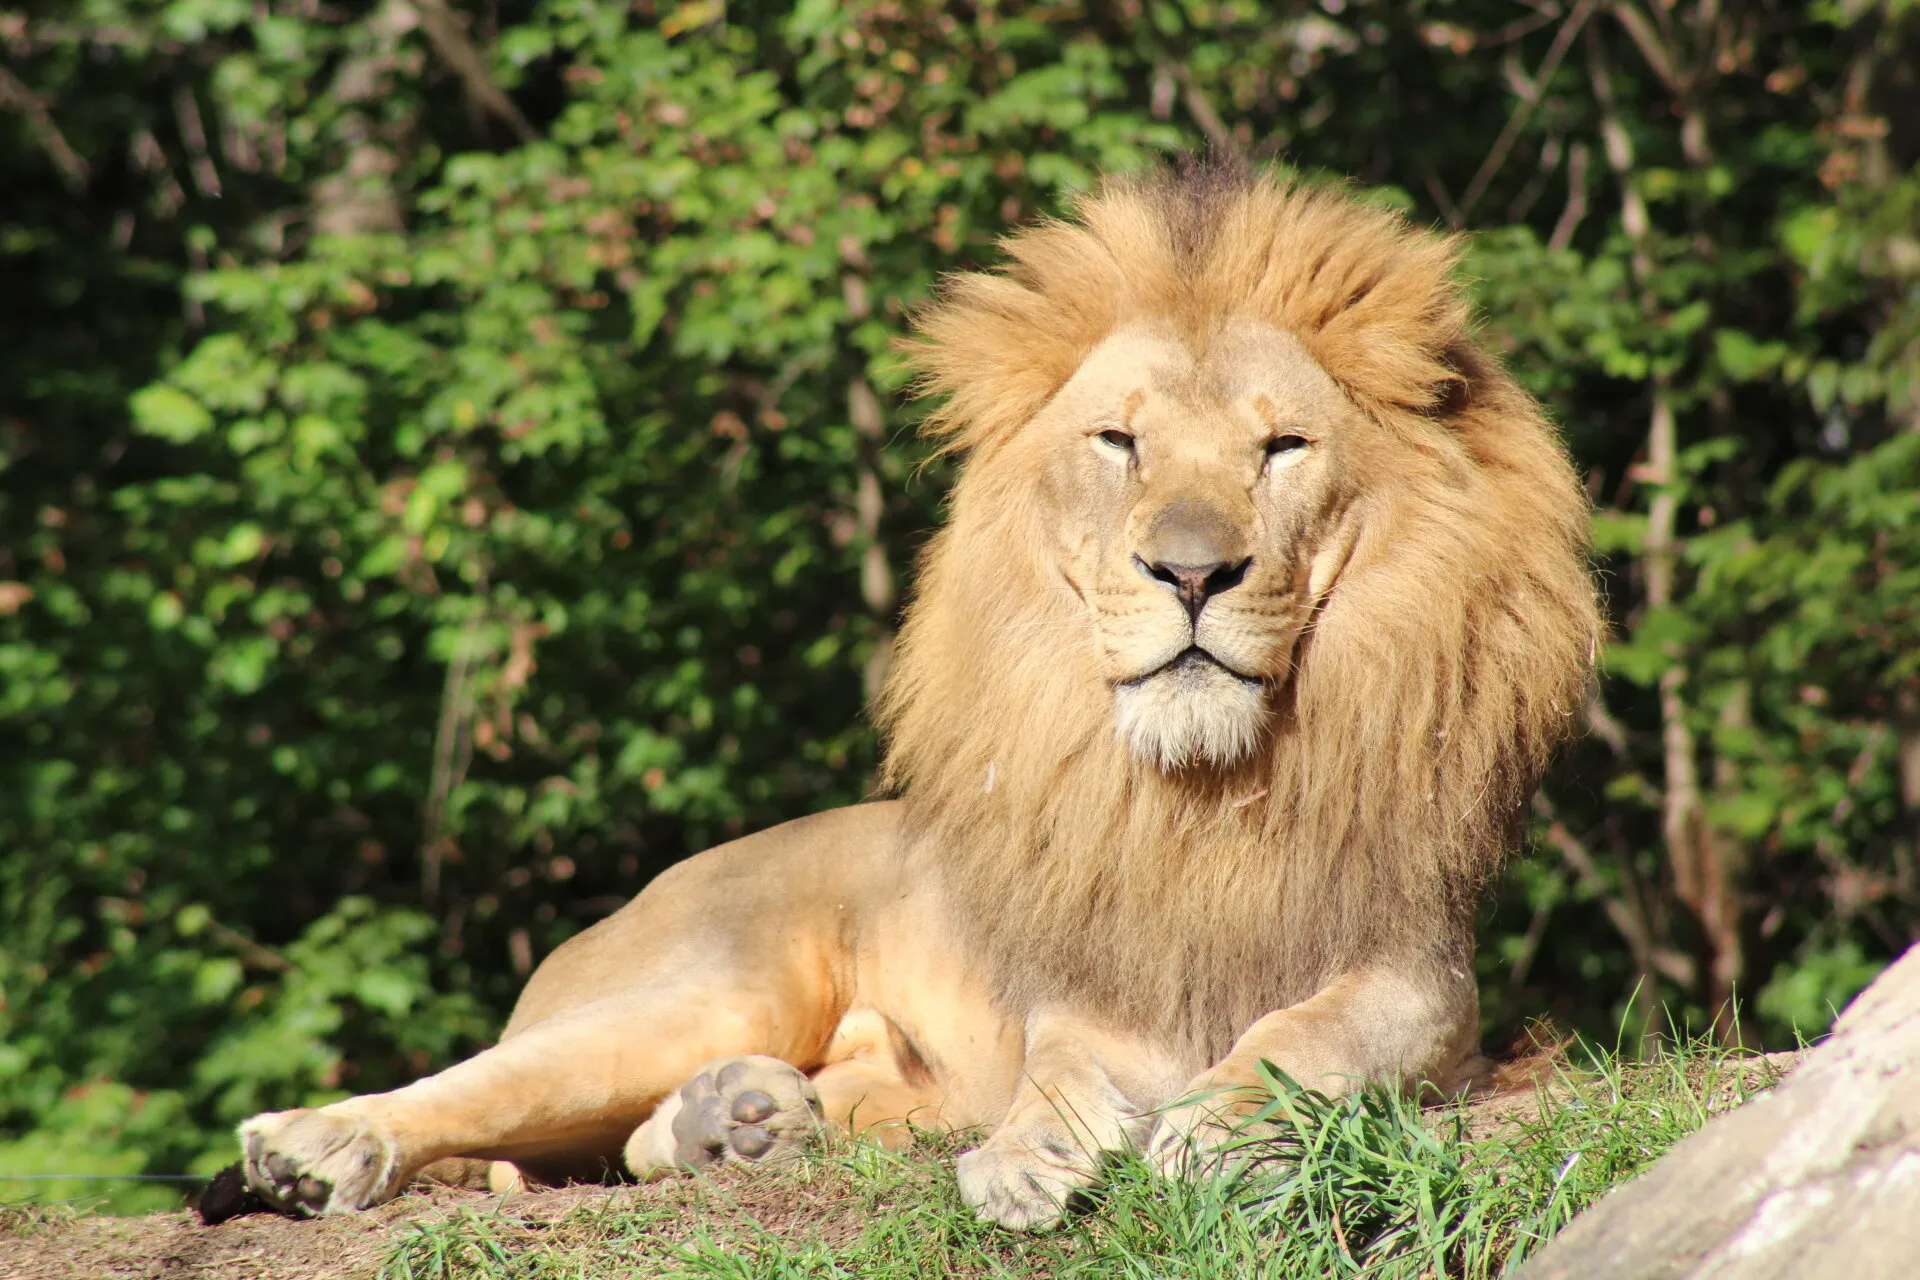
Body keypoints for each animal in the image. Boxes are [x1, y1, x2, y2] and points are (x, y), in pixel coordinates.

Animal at [232, 163, 1600, 1232]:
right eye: (1120, 441)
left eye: (1283, 447)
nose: (1192, 570)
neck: (1202, 789)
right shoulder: (1088, 998)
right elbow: (1059, 1071)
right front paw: (1028, 1155)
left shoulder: (1421, 980)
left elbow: (1299, 1039)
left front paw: (1214, 1125)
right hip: (706, 983)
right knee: (488, 1092)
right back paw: (319, 1144)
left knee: (640, 1142)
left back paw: (738, 1121)